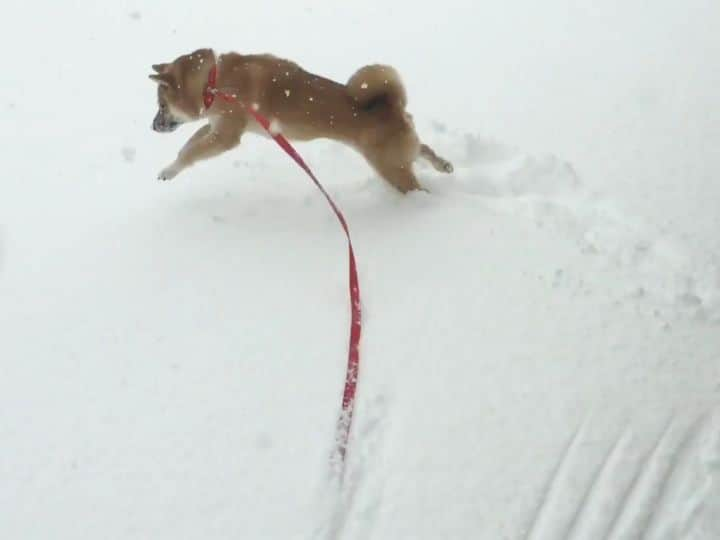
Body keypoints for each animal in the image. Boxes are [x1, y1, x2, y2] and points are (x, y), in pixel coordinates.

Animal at [147, 48, 452, 192]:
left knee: (416, 185)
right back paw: (444, 165)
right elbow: (187, 147)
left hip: (390, 167)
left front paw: (169, 170)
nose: (153, 126)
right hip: (400, 153)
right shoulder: (216, 126)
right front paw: (170, 169)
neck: (213, 82)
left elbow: (191, 151)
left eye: (162, 105)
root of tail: (391, 105)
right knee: (424, 150)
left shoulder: (225, 135)